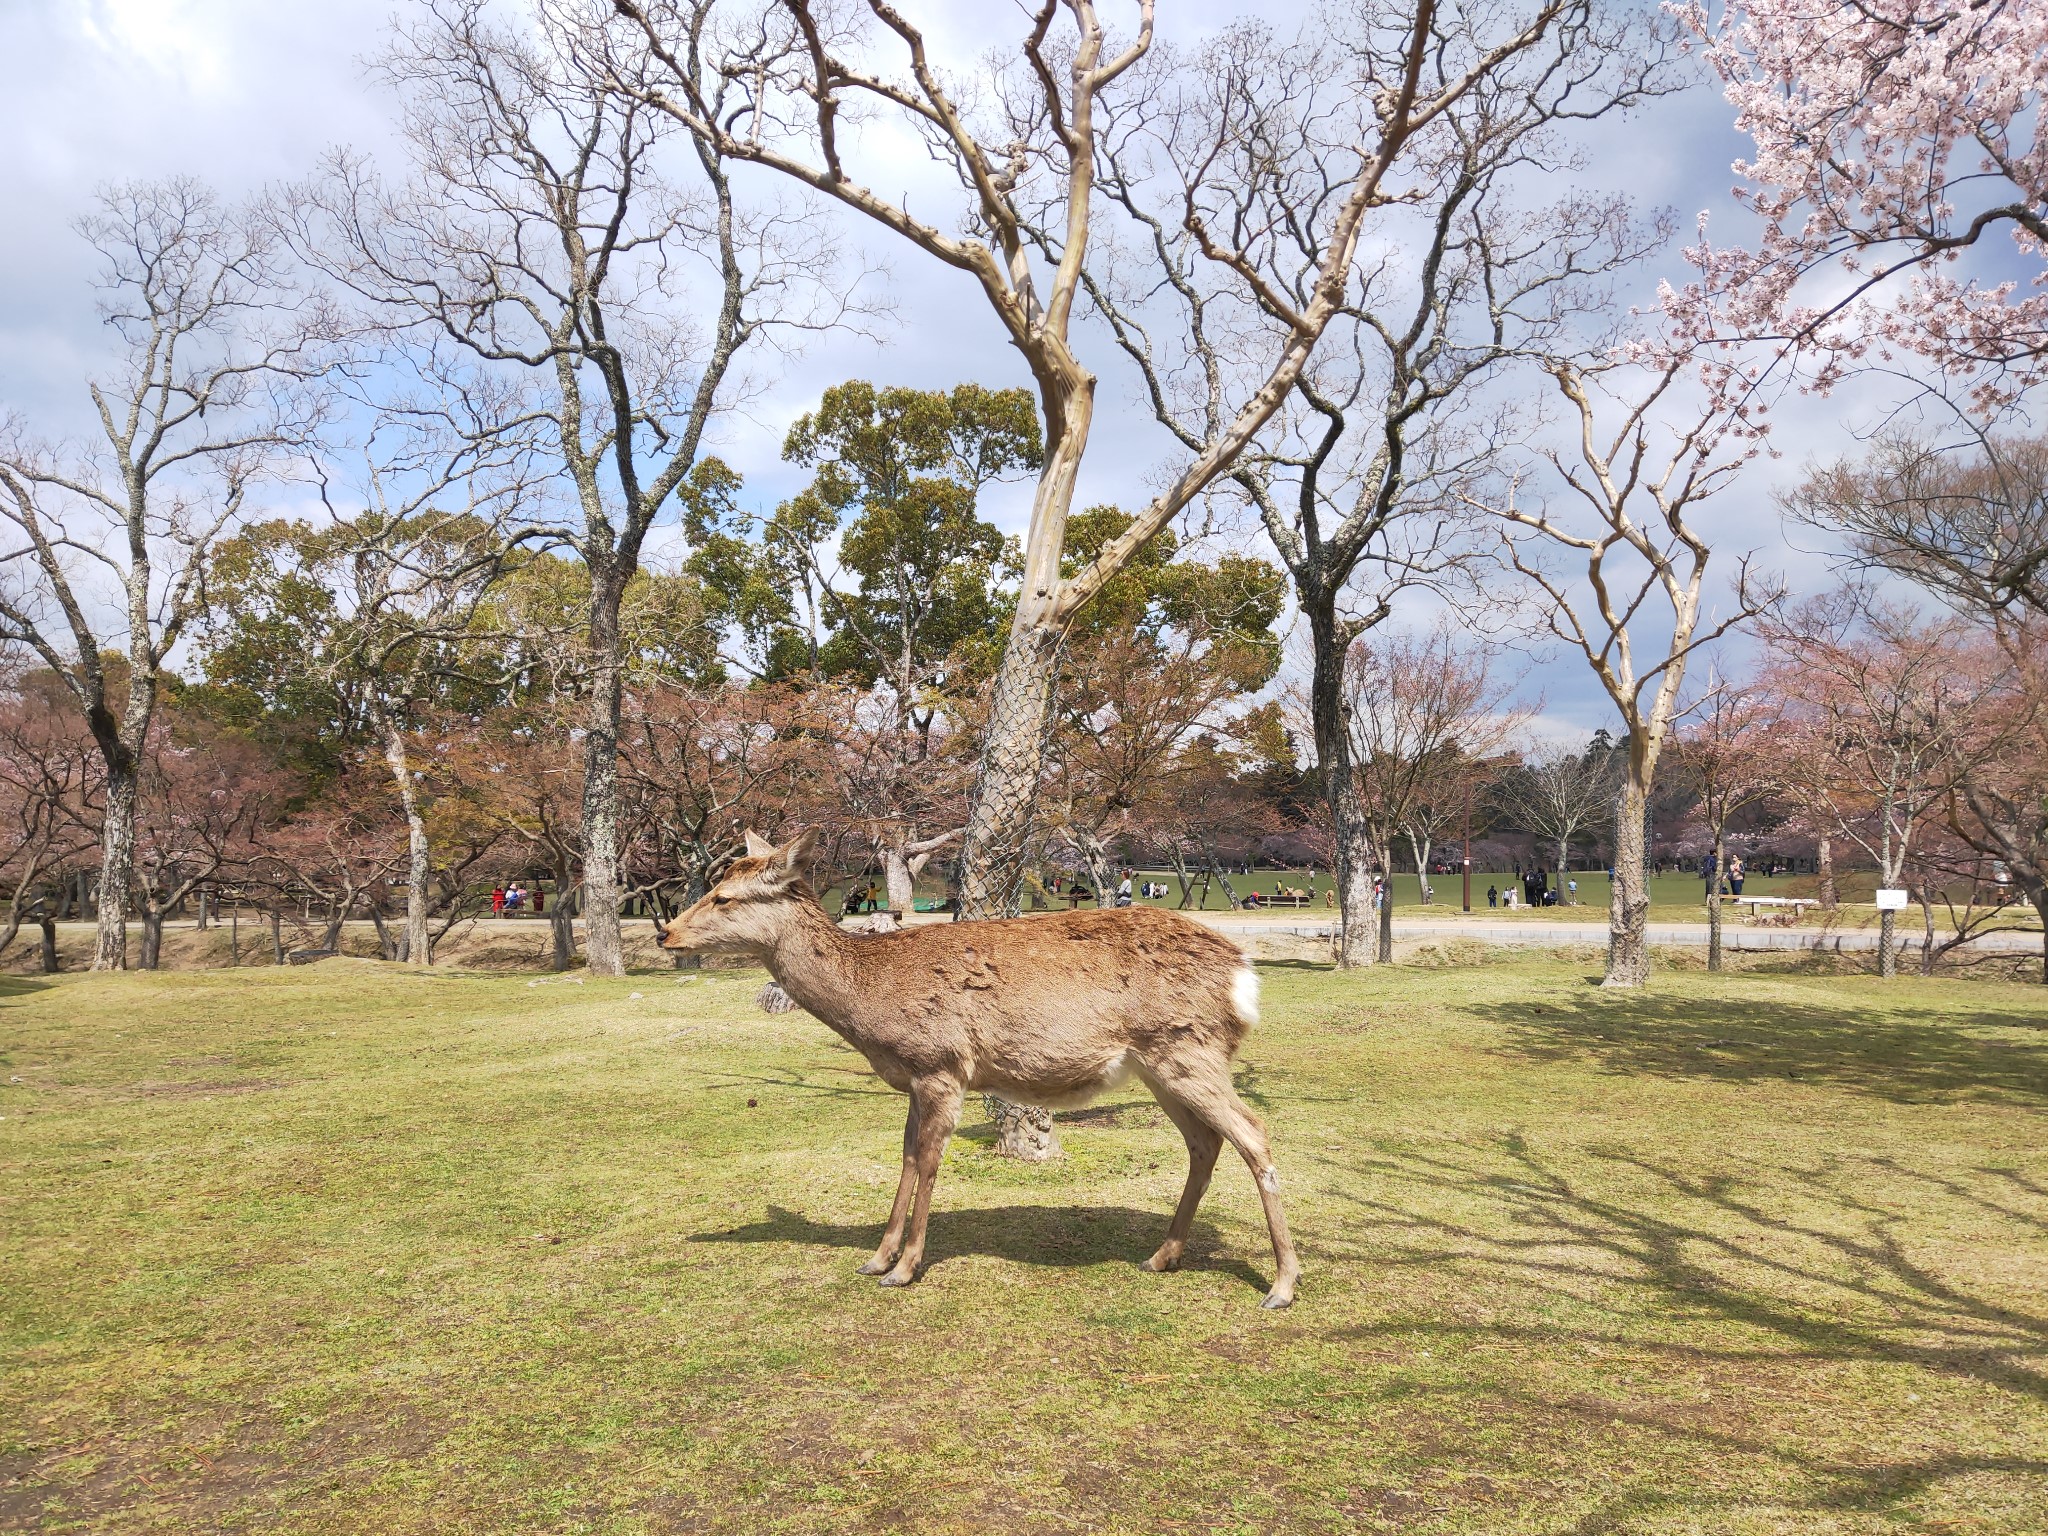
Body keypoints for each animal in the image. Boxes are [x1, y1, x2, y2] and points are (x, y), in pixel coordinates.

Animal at [655, 831, 1294, 1310]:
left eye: (726, 896)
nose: (666, 932)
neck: (869, 1003)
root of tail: (1245, 975)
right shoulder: (913, 1078)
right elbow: (906, 1156)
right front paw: (875, 1258)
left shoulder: (941, 1065)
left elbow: (929, 1160)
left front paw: (906, 1268)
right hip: (1163, 1068)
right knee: (1205, 1143)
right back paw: (1162, 1256)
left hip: (1189, 1051)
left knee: (1255, 1133)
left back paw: (1282, 1285)